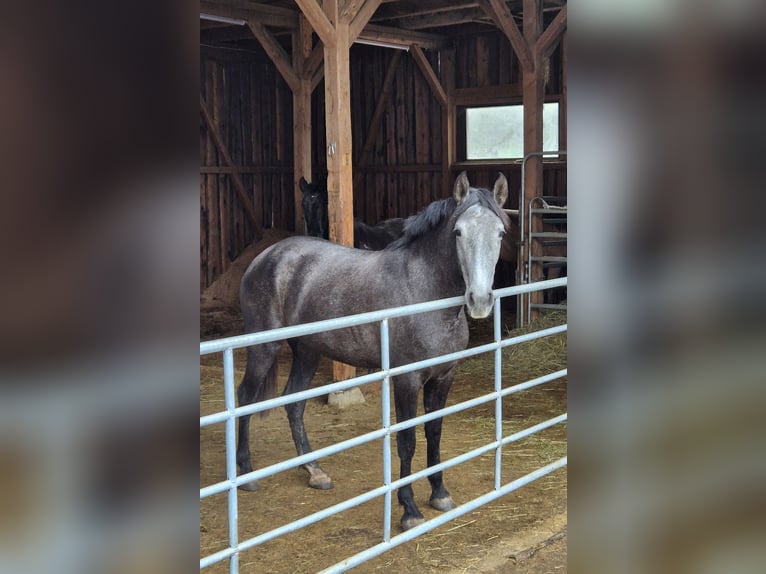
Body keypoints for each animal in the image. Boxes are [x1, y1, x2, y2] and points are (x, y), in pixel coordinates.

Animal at [237, 173, 508, 532]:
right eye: (458, 232)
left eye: (500, 232)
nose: (479, 300)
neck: (422, 291)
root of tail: (266, 256)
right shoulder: (406, 380)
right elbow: (407, 441)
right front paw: (409, 509)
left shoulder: (443, 377)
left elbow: (434, 433)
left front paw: (440, 494)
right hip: (264, 348)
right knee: (245, 399)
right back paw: (246, 474)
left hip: (308, 351)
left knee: (294, 402)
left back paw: (315, 471)